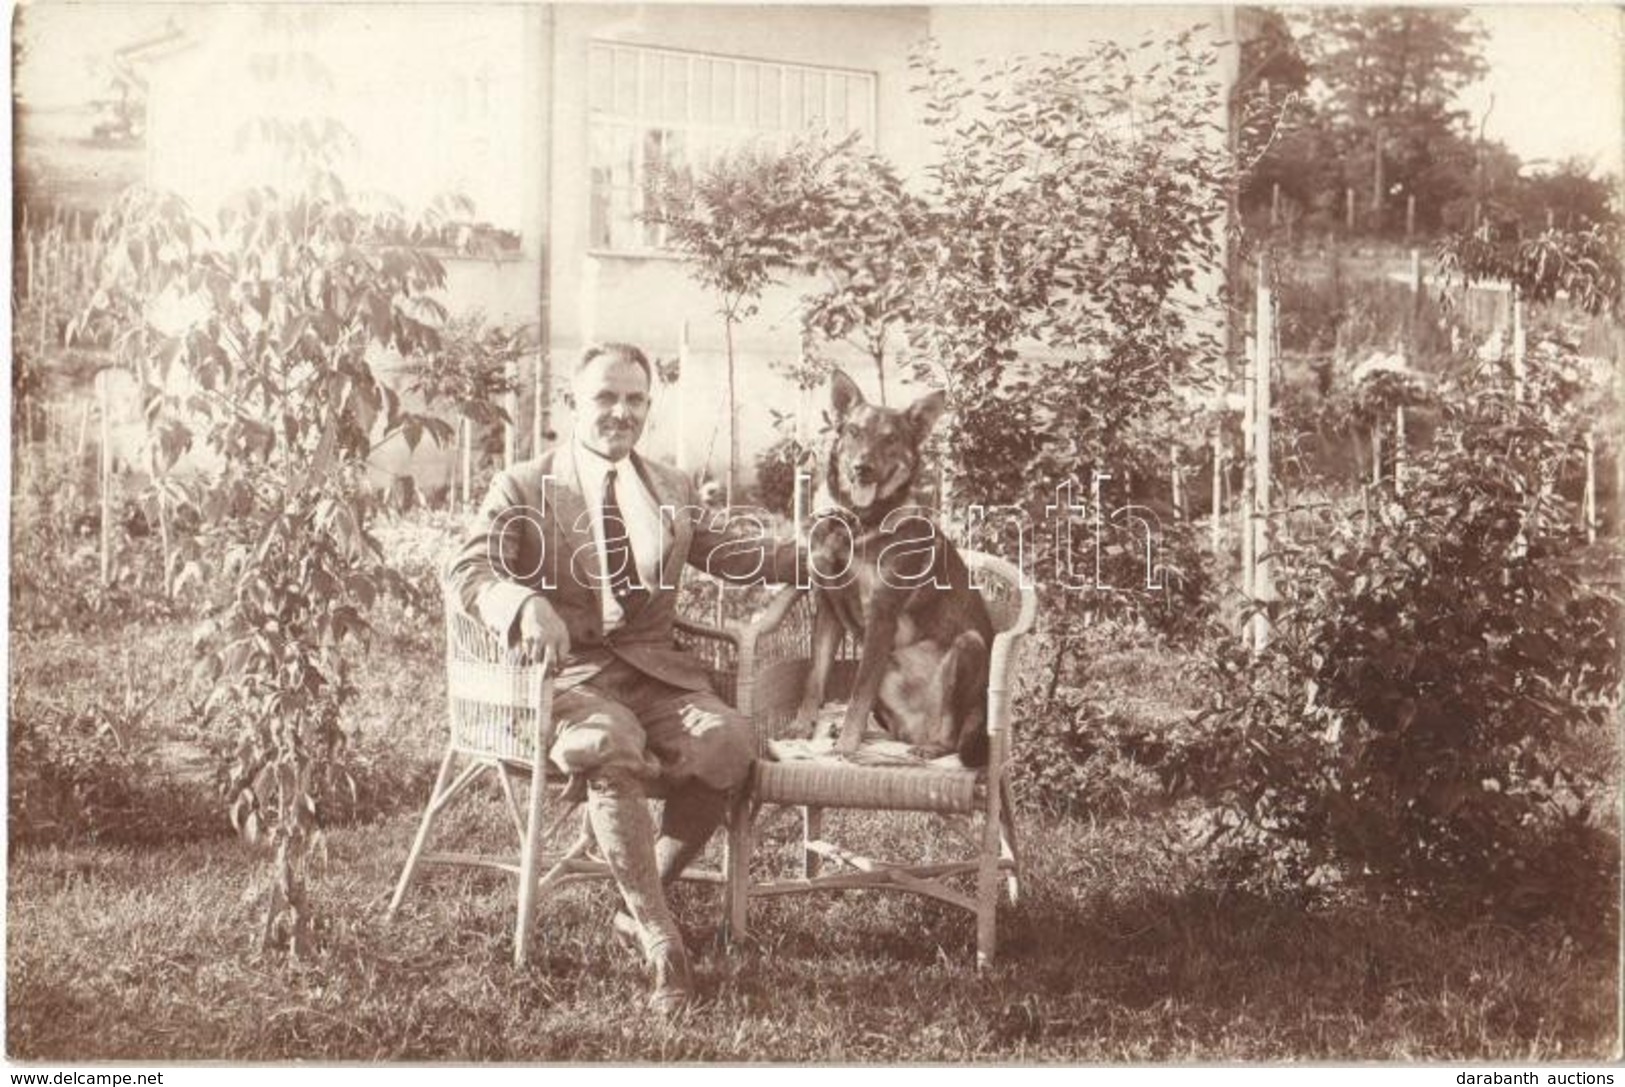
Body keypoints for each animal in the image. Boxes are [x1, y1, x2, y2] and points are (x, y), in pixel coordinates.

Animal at [786, 368, 988, 766]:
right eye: (854, 431)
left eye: (891, 438)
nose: (862, 468)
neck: (856, 523)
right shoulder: (828, 609)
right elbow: (815, 677)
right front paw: (804, 725)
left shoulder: (880, 615)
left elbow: (857, 694)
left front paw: (845, 745)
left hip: (969, 646)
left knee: (952, 733)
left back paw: (929, 746)